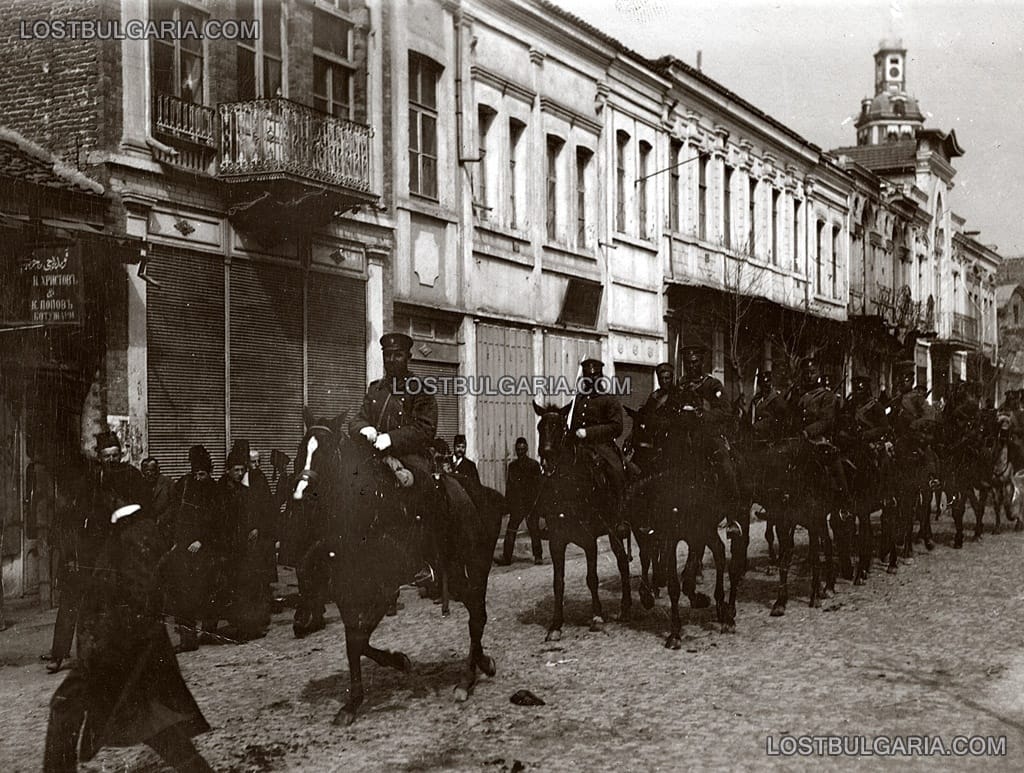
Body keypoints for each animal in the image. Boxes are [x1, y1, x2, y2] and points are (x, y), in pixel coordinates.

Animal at [290, 411, 501, 724]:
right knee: (476, 614)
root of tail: (472, 491)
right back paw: (481, 665)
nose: (299, 497)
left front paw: (357, 698)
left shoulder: (385, 588)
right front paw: (392, 666)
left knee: (477, 616)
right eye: (300, 452)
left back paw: (467, 679)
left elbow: (357, 638)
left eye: (324, 455)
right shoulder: (346, 591)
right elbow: (355, 639)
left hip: (469, 570)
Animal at [532, 401, 634, 642]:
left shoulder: (589, 540)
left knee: (623, 562)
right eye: (540, 427)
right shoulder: (556, 541)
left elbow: (592, 578)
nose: (546, 457)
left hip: (617, 530)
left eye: (560, 427)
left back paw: (626, 608)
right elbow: (558, 582)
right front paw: (555, 625)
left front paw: (596, 616)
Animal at [618, 389, 741, 651]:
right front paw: (674, 629)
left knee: (730, 560)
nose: (636, 471)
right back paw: (718, 605)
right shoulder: (666, 534)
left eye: (656, 432)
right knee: (717, 551)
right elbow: (670, 580)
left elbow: (682, 577)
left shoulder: (689, 532)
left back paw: (728, 614)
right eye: (635, 432)